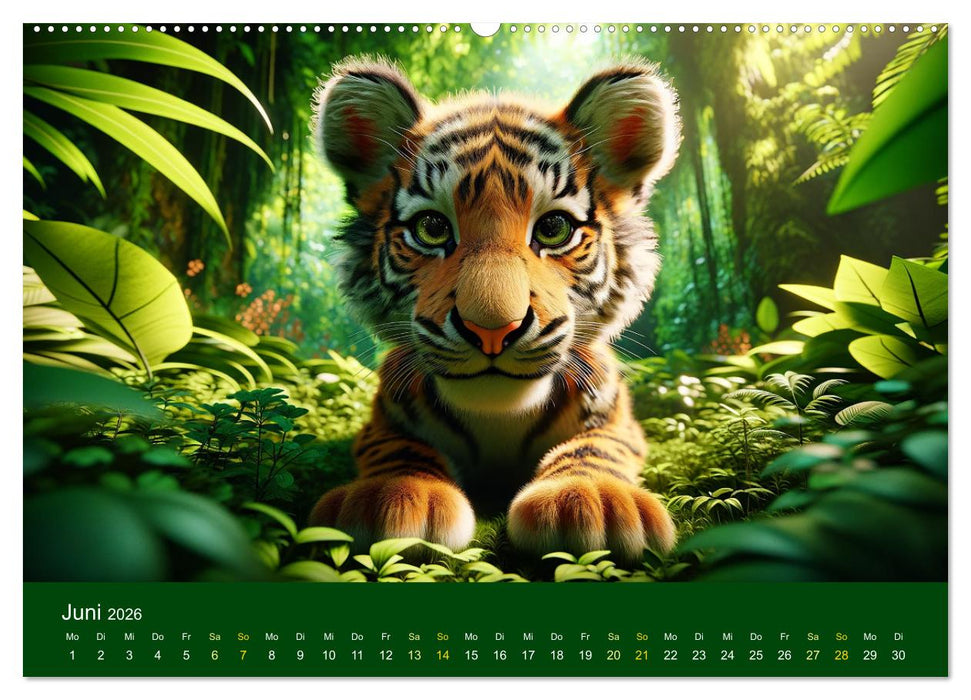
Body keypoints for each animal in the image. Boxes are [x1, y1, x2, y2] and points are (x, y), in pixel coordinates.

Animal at [308, 56, 681, 563]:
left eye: (554, 229)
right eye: (431, 228)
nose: (491, 330)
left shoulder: (617, 417)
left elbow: (595, 448)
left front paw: (593, 502)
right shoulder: (382, 420)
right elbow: (400, 450)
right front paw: (392, 497)